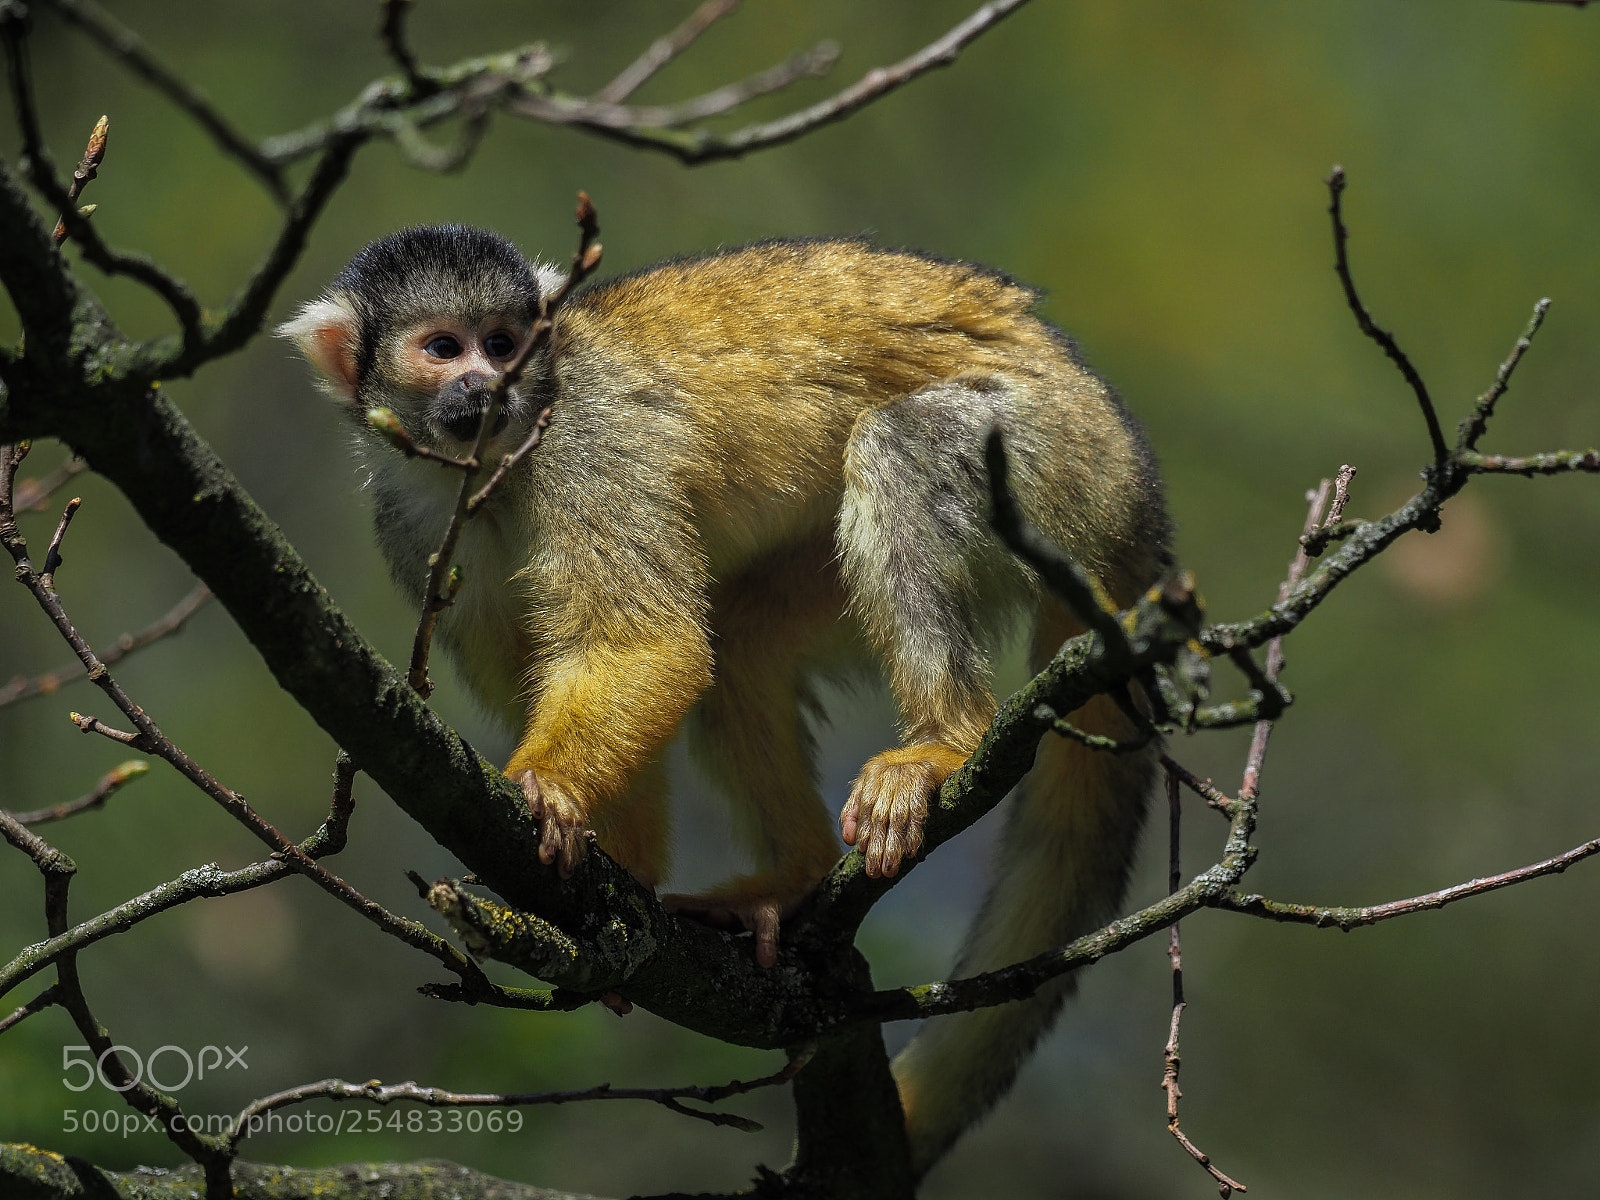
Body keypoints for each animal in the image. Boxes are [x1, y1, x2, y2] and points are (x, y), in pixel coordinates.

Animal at [279, 224, 1170, 1176]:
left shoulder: (584, 441)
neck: (489, 465)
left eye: (506, 343)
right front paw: (619, 872)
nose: (492, 384)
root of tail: (1122, 448)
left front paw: (547, 788)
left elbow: (648, 643)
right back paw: (793, 878)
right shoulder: (411, 523)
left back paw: (945, 743)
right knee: (740, 637)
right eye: (446, 348)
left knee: (903, 447)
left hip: (1052, 454)